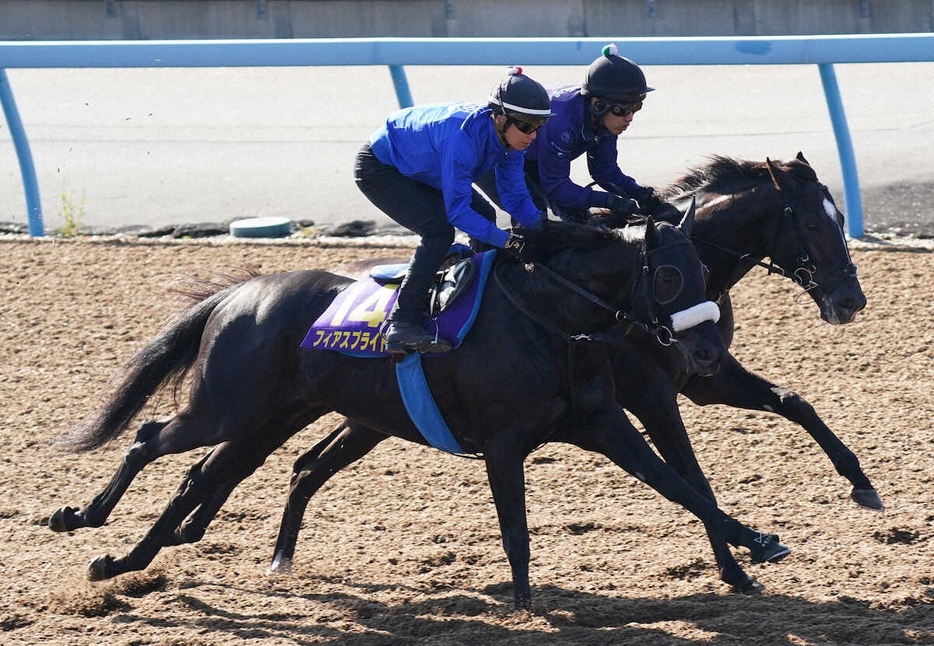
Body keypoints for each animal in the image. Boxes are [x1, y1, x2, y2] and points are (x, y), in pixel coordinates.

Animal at [49, 213, 788, 612]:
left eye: (705, 272)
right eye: (668, 276)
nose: (706, 349)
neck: (545, 317)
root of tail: (238, 294)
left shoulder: (604, 424)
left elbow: (683, 487)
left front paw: (760, 546)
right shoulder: (503, 441)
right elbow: (515, 528)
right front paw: (525, 605)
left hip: (274, 418)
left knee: (204, 475)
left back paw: (125, 560)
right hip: (227, 408)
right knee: (150, 439)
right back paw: (83, 519)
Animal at [266, 153, 872, 596]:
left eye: (842, 219)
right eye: (813, 222)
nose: (850, 300)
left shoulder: (705, 376)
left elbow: (793, 401)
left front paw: (862, 484)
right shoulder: (652, 396)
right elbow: (690, 476)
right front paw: (737, 566)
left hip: (372, 417)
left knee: (309, 465)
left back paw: (281, 560)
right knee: (308, 463)